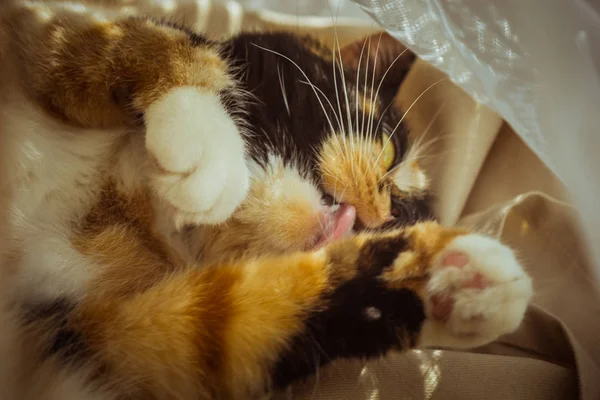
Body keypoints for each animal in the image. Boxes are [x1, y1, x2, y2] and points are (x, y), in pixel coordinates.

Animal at [0, 1, 536, 398]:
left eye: (399, 219)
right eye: (389, 152)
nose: (384, 214)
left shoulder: (83, 348)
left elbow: (224, 322)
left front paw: (452, 274)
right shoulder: (33, 24)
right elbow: (121, 33)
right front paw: (199, 132)